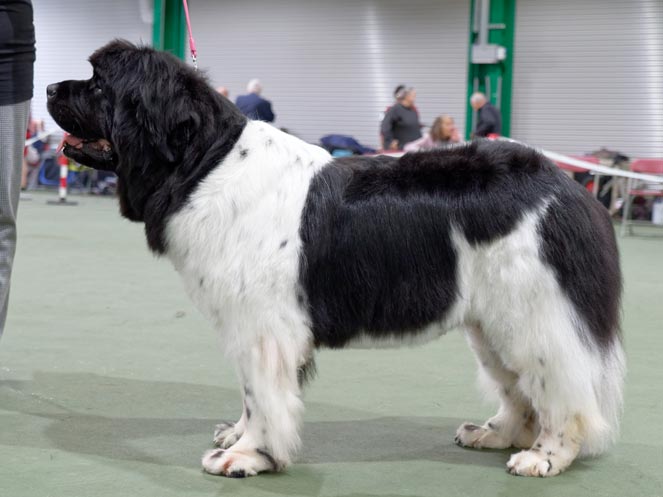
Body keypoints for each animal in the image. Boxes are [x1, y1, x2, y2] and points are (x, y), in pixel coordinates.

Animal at [46, 39, 624, 476]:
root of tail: (570, 188)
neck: (204, 163)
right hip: (493, 321)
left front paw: (247, 456)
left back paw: (545, 457)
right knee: (520, 387)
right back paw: (495, 434)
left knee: (562, 388)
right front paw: (238, 435)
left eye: (98, 83)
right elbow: (251, 391)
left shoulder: (263, 325)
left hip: (534, 311)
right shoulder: (251, 323)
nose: (49, 87)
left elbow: (264, 394)